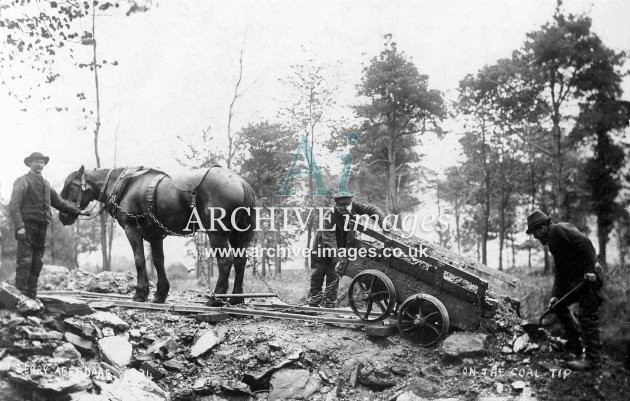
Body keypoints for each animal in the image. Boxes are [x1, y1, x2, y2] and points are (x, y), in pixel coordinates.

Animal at [58, 165, 258, 304]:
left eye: (71, 187)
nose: (62, 216)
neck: (126, 186)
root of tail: (241, 183)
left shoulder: (132, 229)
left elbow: (139, 259)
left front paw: (140, 293)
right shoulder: (155, 236)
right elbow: (157, 261)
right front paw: (160, 294)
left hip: (217, 233)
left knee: (225, 261)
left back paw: (215, 299)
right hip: (239, 235)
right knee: (240, 261)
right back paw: (236, 298)